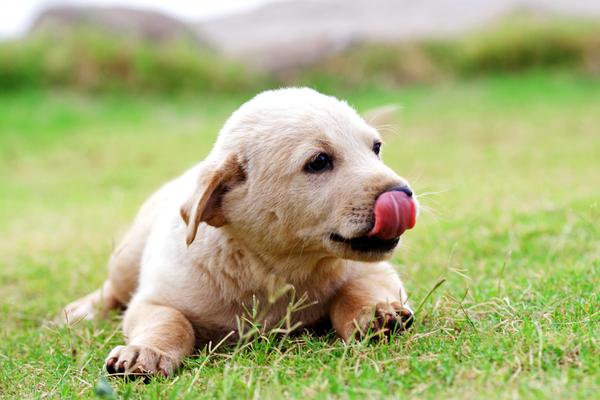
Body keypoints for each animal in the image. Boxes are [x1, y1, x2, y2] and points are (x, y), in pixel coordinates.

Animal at [62, 86, 418, 376]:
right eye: (318, 161)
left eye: (376, 147)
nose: (402, 193)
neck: (276, 269)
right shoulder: (154, 299)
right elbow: (170, 322)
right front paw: (146, 351)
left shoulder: (375, 271)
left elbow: (355, 291)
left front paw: (377, 314)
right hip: (128, 257)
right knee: (112, 290)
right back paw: (82, 310)